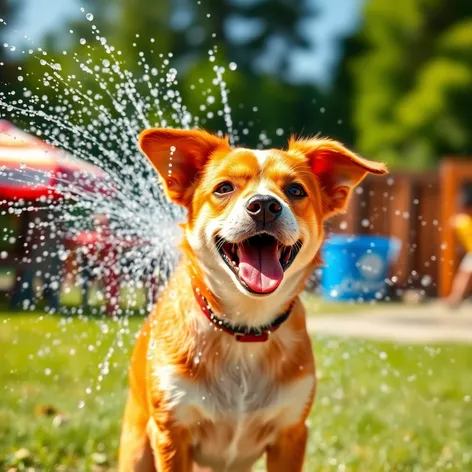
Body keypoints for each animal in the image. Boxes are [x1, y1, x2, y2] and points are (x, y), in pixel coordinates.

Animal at [118, 127, 388, 470]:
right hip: (137, 446)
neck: (245, 327)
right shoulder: (171, 431)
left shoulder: (291, 432)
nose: (264, 205)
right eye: (224, 188)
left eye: (296, 190)